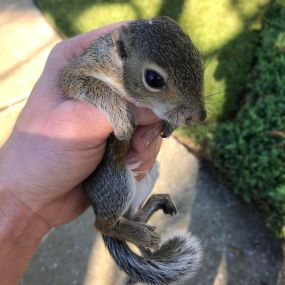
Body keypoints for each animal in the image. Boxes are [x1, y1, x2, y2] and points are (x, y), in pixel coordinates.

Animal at [61, 16, 205, 282]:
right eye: (153, 79)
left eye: (198, 58)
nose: (200, 116)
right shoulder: (77, 70)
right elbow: (85, 84)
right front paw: (120, 113)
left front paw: (170, 123)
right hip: (115, 183)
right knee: (105, 226)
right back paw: (139, 234)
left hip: (149, 174)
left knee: (131, 215)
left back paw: (151, 210)